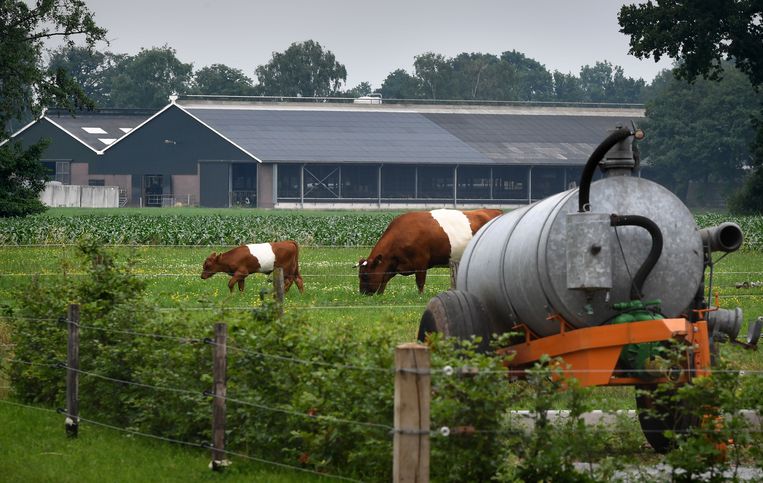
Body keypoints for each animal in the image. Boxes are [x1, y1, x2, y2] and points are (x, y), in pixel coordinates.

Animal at [356, 209, 502, 294]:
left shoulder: (420, 261)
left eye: (365, 276)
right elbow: (384, 279)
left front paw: (420, 296)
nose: (363, 294)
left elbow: (420, 281)